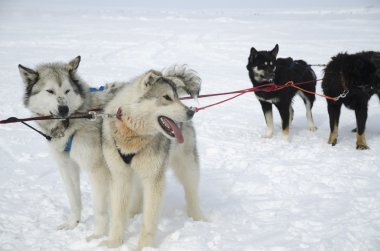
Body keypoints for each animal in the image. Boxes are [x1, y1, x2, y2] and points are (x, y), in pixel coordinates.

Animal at [18, 56, 110, 239]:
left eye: (67, 91)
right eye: (50, 91)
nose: (64, 109)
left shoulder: (98, 170)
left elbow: (100, 209)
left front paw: (98, 236)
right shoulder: (67, 166)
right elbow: (74, 200)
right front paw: (72, 224)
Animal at [99, 65, 203, 250]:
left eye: (177, 97)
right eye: (167, 97)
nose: (191, 111)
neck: (132, 134)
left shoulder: (154, 179)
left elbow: (149, 220)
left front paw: (144, 246)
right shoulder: (120, 177)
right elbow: (118, 215)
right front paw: (114, 242)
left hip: (188, 167)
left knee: (192, 193)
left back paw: (199, 218)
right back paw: (133, 212)